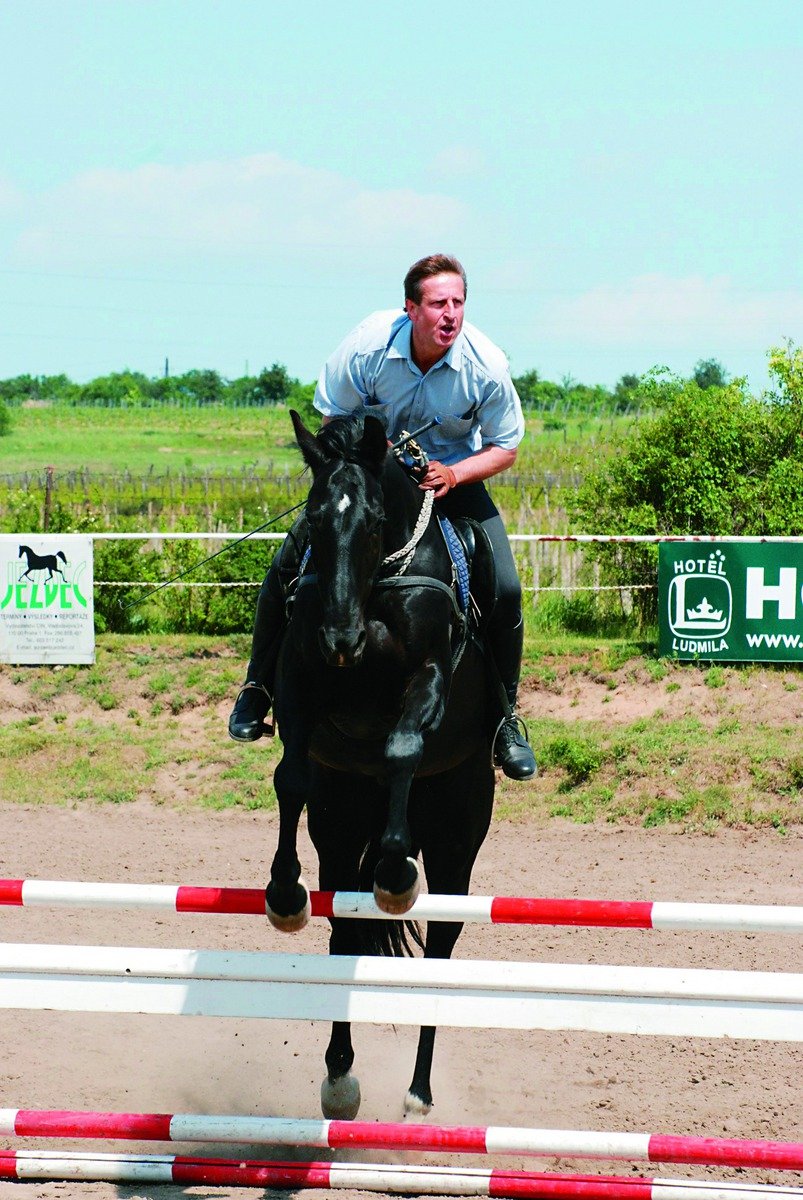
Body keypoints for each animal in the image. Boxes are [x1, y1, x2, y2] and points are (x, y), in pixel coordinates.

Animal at [267, 410, 494, 1113]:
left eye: (371, 523)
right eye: (314, 520)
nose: (342, 640)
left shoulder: (426, 678)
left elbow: (401, 747)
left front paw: (396, 872)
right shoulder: (300, 686)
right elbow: (290, 775)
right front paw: (283, 892)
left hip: (455, 843)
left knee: (440, 954)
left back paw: (418, 1093)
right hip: (340, 824)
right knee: (344, 931)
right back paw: (340, 1078)